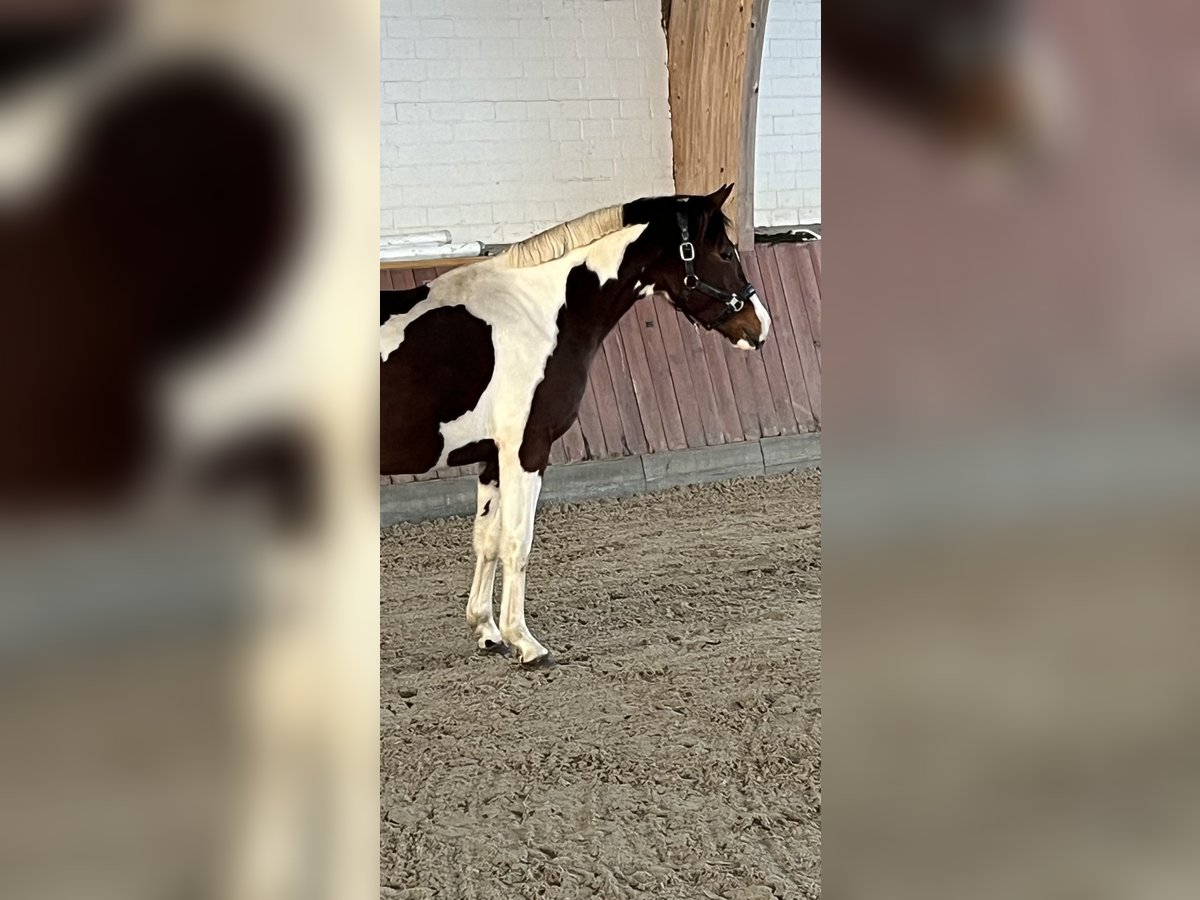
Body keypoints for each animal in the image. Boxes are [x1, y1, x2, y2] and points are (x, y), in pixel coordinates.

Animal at [379, 187, 768, 667]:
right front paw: (526, 643)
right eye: (725, 252)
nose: (761, 326)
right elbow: (517, 541)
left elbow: (486, 540)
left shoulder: (493, 457)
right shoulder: (527, 450)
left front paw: (487, 631)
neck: (539, 311)